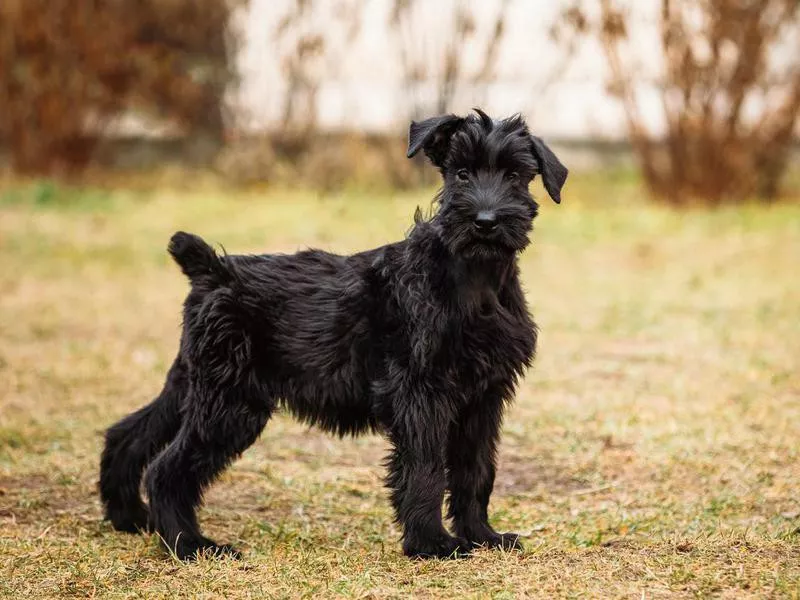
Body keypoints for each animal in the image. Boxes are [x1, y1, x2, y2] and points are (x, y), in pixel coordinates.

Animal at [98, 106, 564, 556]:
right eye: (462, 173)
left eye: (515, 176)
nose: (485, 221)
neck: (474, 280)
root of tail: (212, 270)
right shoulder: (422, 394)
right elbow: (426, 468)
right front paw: (431, 544)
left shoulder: (484, 398)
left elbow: (476, 470)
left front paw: (482, 536)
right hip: (230, 404)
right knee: (166, 470)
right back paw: (190, 544)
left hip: (194, 385)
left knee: (129, 434)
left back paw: (130, 517)